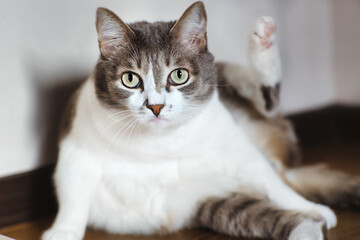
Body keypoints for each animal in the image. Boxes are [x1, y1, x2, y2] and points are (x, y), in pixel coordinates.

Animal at [43, 1, 360, 240]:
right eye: (130, 79)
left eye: (179, 75)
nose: (155, 106)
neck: (155, 146)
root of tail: (283, 163)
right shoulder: (77, 146)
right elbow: (73, 194)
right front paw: (62, 232)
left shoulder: (235, 147)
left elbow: (272, 185)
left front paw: (312, 208)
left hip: (234, 86)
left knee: (266, 104)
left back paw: (264, 40)